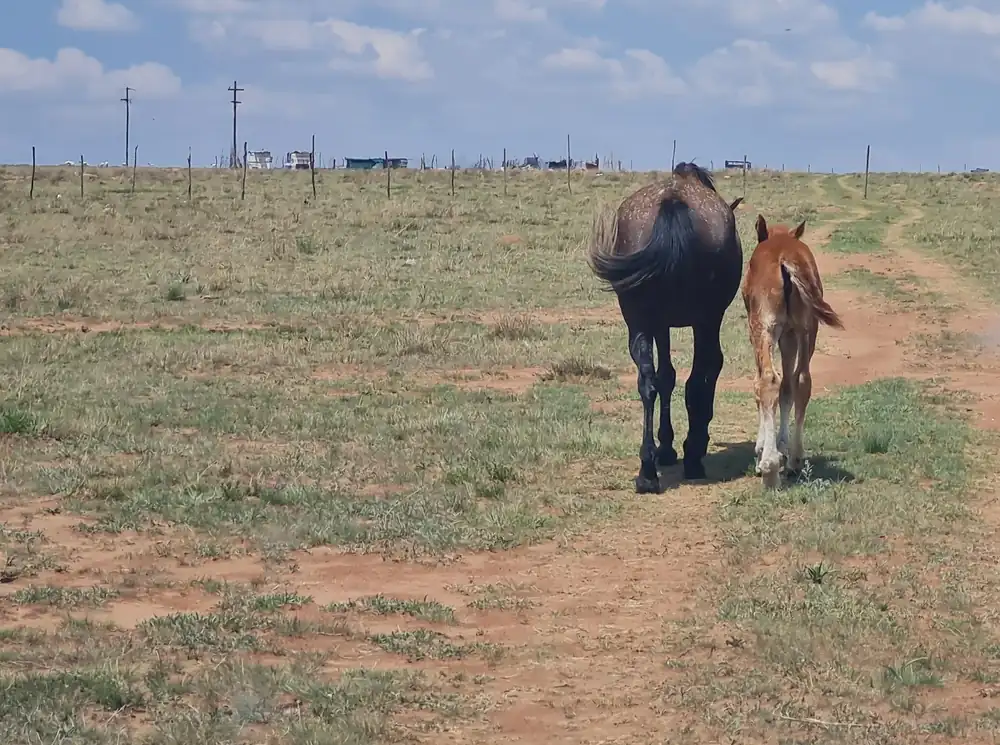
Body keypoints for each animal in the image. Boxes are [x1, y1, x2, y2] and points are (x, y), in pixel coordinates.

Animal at [587, 162, 745, 493]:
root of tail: (673, 201)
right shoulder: (706, 322)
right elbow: (705, 373)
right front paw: (686, 445)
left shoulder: (660, 325)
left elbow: (665, 377)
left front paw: (665, 448)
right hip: (704, 321)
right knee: (697, 378)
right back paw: (693, 458)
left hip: (639, 321)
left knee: (647, 383)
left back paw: (647, 471)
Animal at [741, 214, 844, 488]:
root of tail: (786, 260)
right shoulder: (788, 335)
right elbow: (787, 388)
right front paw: (783, 447)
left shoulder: (762, 330)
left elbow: (762, 384)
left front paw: (764, 450)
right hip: (808, 330)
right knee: (803, 380)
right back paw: (795, 459)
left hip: (763, 327)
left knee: (767, 380)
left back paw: (769, 467)